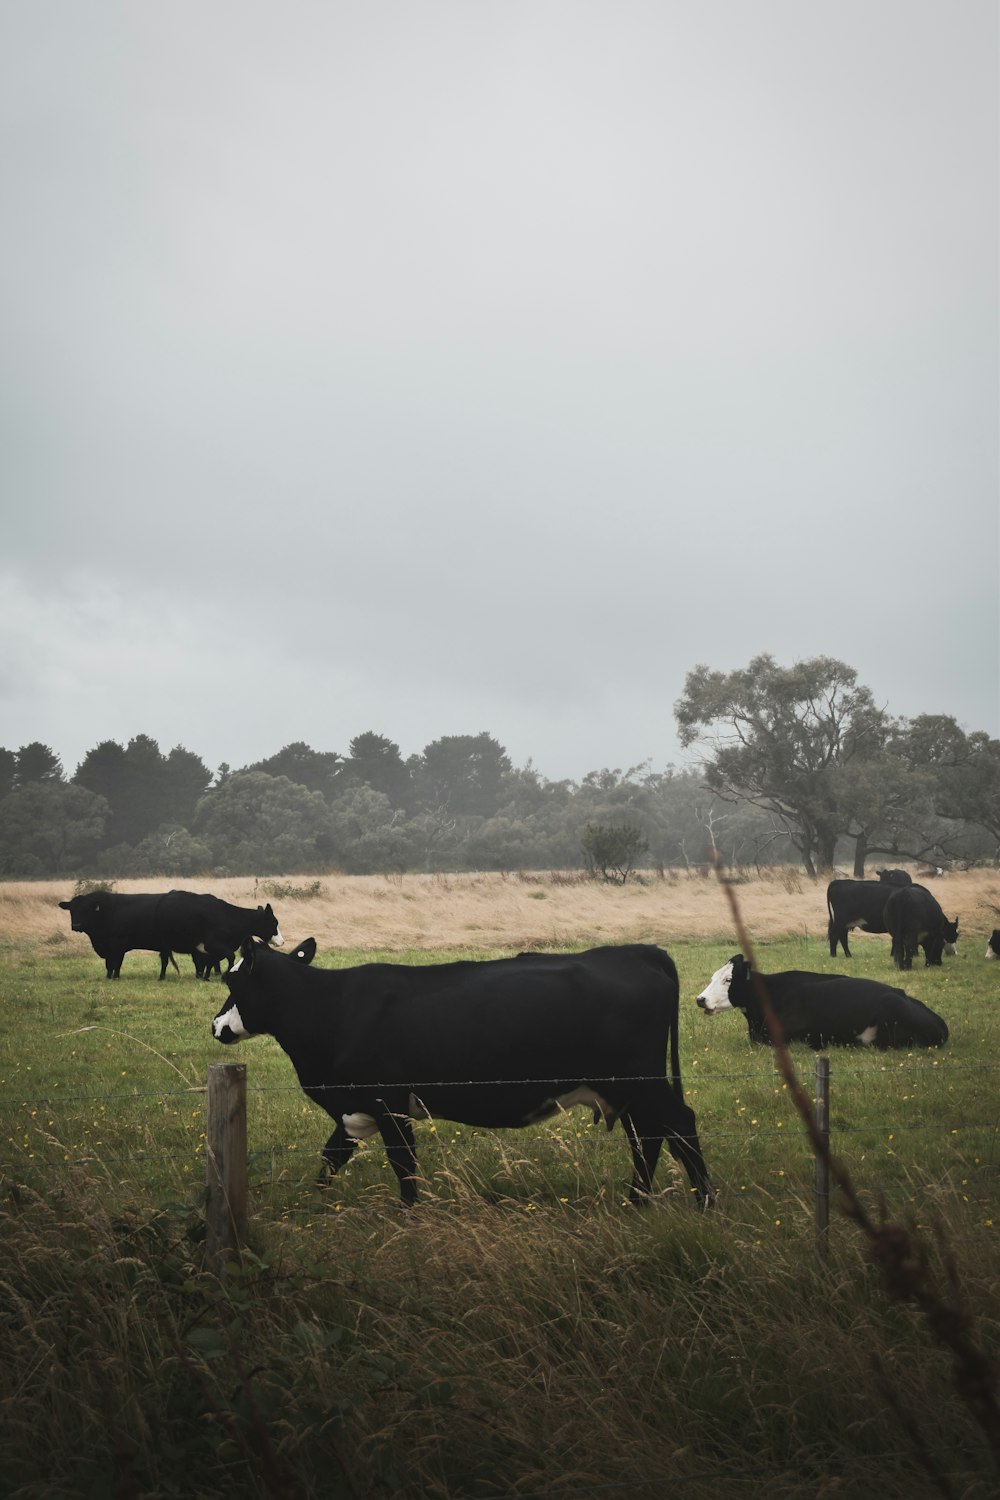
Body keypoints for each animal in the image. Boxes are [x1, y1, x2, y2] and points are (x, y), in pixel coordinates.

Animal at [209, 936, 710, 1206]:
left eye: (233, 979)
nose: (216, 1025)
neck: (332, 1009)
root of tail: (637, 951)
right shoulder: (356, 1110)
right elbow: (331, 1160)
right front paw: (314, 1206)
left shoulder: (388, 1104)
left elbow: (404, 1165)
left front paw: (408, 1216)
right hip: (626, 1091)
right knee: (648, 1137)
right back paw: (636, 1203)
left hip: (640, 1082)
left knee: (679, 1124)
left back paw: (703, 1201)